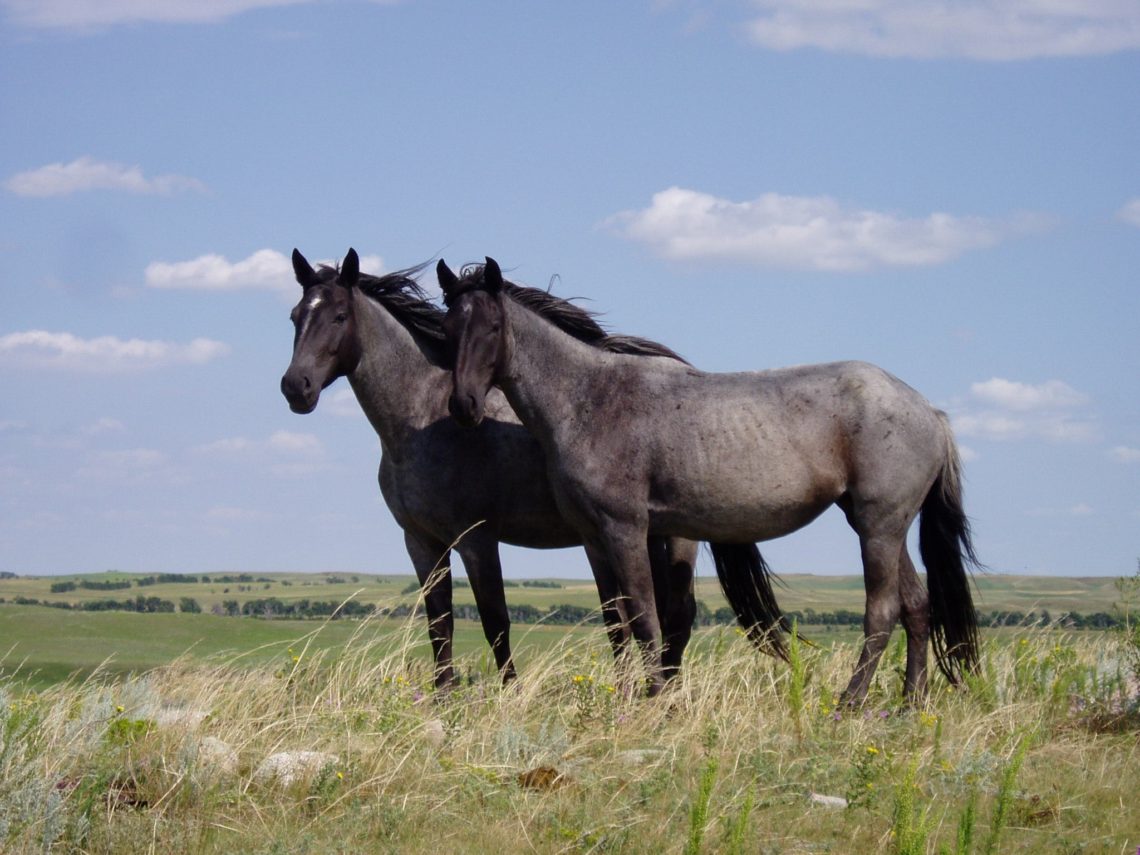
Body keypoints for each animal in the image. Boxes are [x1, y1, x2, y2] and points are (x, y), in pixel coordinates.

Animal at [280, 248, 699, 689]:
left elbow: (495, 620)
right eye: (295, 316)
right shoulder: (421, 542)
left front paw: (508, 692)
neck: (420, 421)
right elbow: (439, 624)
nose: (295, 386)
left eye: (340, 316)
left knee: (677, 616)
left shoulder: (476, 539)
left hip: (675, 537)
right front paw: (443, 695)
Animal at [437, 256, 980, 703]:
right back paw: (910, 703)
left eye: (492, 326)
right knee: (917, 606)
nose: (463, 406)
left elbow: (645, 617)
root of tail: (928, 411)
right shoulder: (593, 537)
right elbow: (617, 621)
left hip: (877, 528)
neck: (589, 399)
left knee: (882, 611)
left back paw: (851, 702)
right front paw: (625, 696)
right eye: (447, 328)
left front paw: (654, 698)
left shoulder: (627, 529)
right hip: (884, 526)